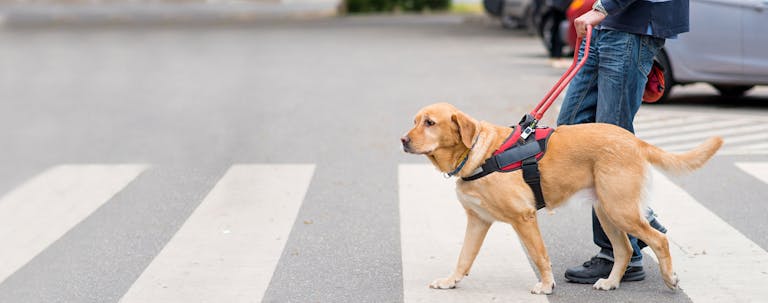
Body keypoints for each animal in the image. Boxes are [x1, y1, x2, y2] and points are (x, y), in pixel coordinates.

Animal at [400, 103, 724, 296]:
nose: (403, 140)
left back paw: (669, 278)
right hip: (607, 212)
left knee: (659, 239)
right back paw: (611, 281)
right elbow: (464, 257)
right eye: (415, 121)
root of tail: (634, 140)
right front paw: (450, 280)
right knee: (623, 250)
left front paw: (546, 285)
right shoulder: (478, 221)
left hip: (620, 210)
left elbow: (540, 255)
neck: (477, 154)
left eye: (430, 123)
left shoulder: (524, 217)